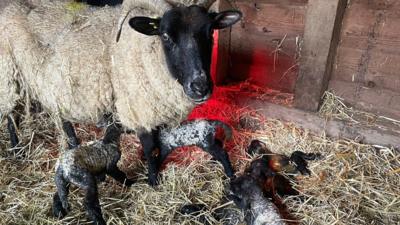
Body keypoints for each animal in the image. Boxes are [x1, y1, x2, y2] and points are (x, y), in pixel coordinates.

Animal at [0, 0, 241, 184]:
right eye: (165, 36)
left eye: (211, 32)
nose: (200, 86)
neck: (146, 51)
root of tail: (11, 6)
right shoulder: (138, 109)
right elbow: (151, 147)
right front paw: (153, 179)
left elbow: (158, 143)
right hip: (10, 77)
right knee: (11, 116)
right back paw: (17, 149)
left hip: (54, 88)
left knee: (61, 119)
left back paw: (73, 143)